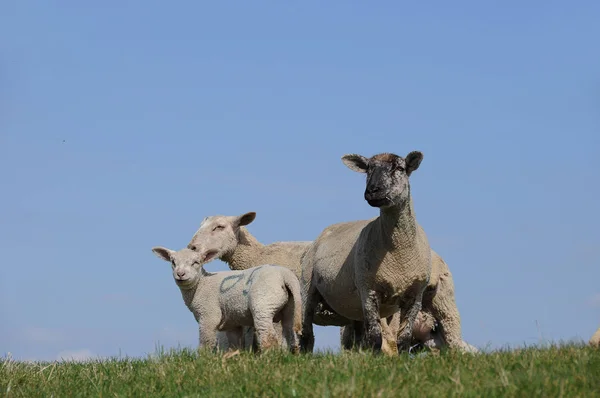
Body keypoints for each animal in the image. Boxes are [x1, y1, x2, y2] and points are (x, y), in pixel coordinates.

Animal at [150, 247, 300, 352]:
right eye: (173, 262)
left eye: (196, 262)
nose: (180, 274)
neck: (201, 284)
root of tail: (285, 275)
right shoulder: (232, 321)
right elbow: (234, 345)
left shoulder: (208, 315)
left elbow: (206, 342)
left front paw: (203, 361)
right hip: (291, 306)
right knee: (290, 334)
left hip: (263, 303)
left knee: (268, 336)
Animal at [302, 152, 434, 354]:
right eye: (368, 169)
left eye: (400, 168)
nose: (373, 190)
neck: (399, 252)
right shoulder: (369, 289)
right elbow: (375, 337)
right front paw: (376, 357)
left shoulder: (415, 294)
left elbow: (404, 339)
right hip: (308, 288)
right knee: (306, 333)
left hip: (354, 306)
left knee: (355, 338)